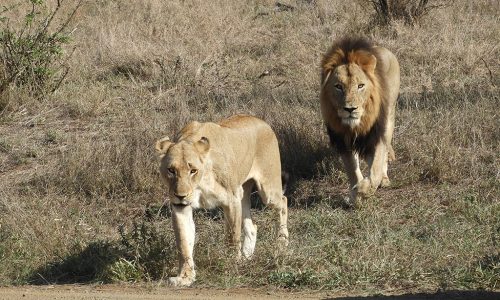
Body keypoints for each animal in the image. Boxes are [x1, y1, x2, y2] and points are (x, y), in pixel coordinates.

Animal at [156, 114, 290, 286]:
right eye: (171, 170)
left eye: (193, 170)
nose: (181, 195)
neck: (201, 180)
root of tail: (262, 121)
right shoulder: (181, 207)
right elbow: (183, 242)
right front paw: (185, 277)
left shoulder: (231, 200)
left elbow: (232, 237)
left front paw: (232, 265)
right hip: (243, 193)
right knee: (252, 226)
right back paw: (247, 257)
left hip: (267, 191)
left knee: (283, 201)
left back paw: (281, 243)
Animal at [320, 37, 402, 205]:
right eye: (338, 86)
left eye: (360, 86)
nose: (350, 109)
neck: (356, 125)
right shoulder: (343, 139)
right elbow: (352, 169)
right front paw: (355, 195)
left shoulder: (377, 135)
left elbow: (375, 170)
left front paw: (364, 189)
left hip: (389, 117)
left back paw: (384, 179)